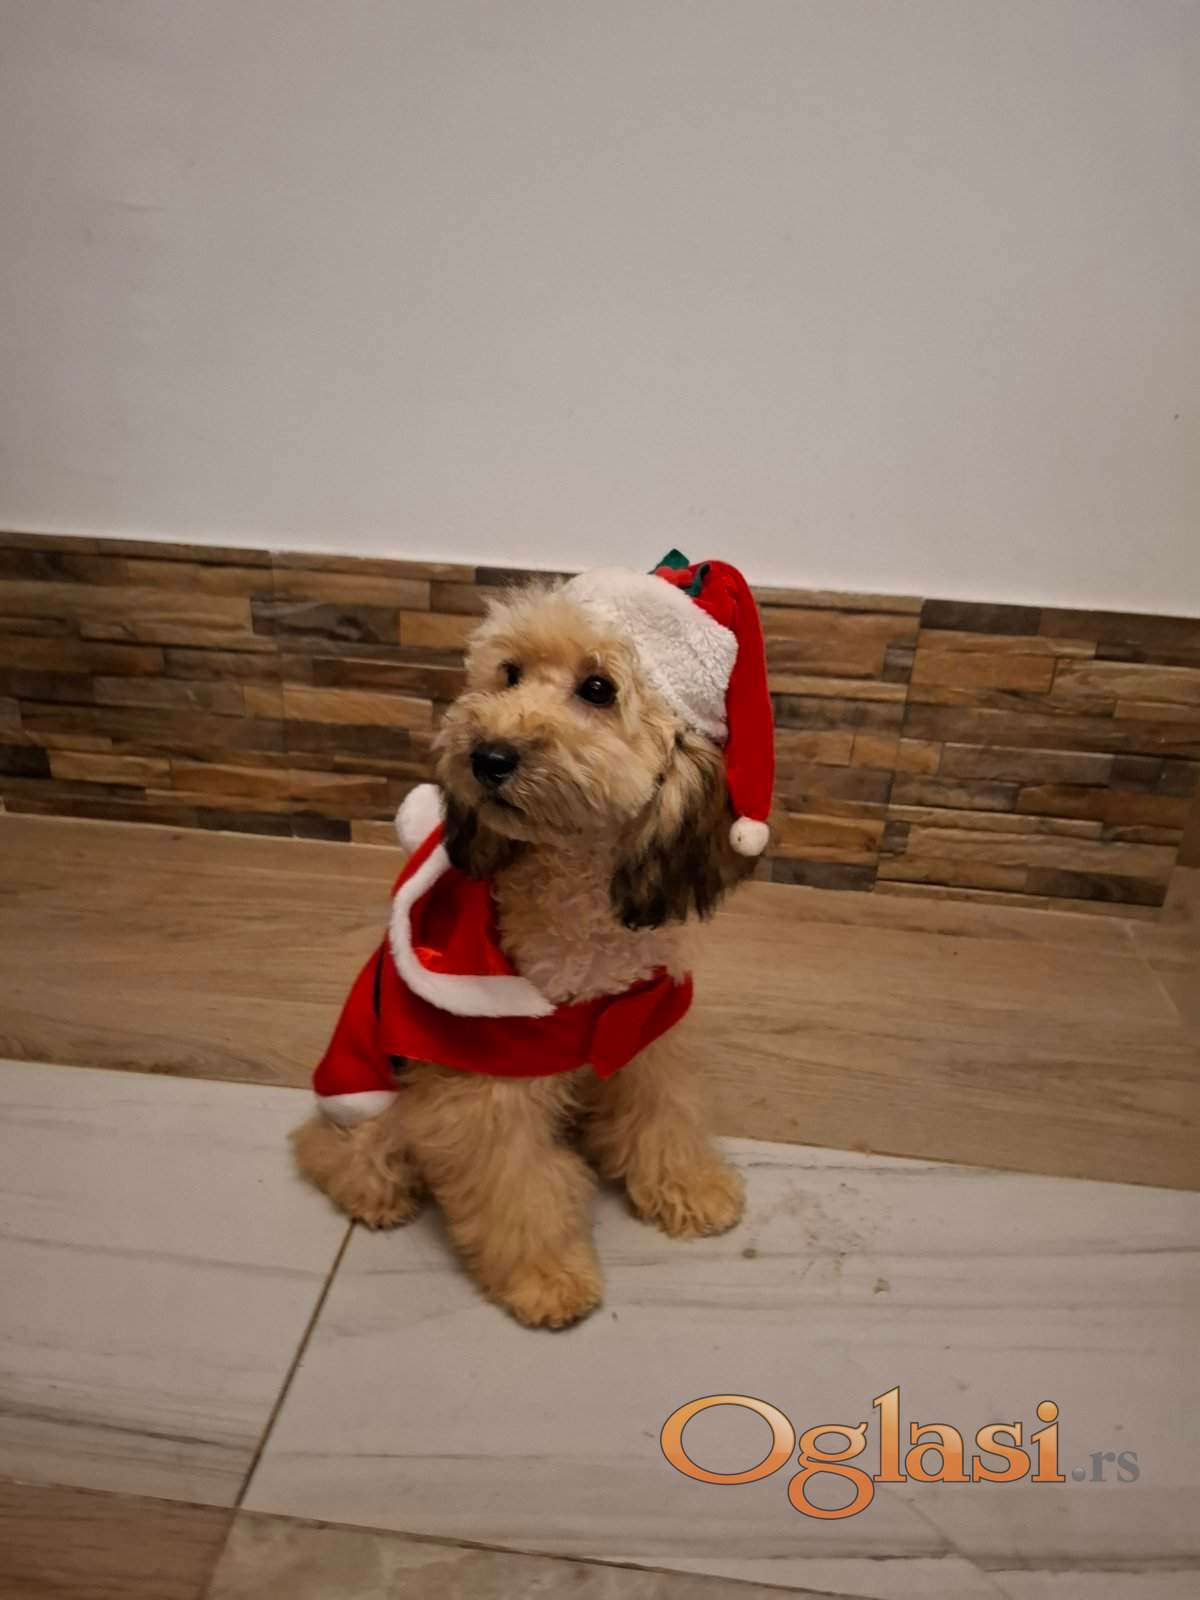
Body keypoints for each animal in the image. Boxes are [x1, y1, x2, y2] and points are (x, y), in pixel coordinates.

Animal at [292, 556, 773, 1328]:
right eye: (509, 674)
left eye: (598, 688)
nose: (487, 755)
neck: (577, 900)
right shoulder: (489, 1078)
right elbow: (517, 1187)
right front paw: (546, 1278)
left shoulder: (644, 1026)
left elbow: (665, 1114)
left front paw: (692, 1188)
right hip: (369, 1090)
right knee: (332, 1146)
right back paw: (377, 1192)